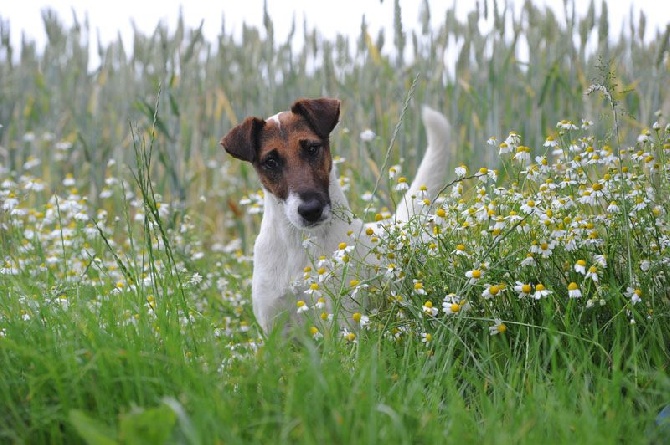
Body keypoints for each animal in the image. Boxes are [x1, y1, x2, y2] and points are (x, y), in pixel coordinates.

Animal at [222, 98, 452, 332]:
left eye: (312, 148)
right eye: (270, 161)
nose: (311, 210)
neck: (300, 243)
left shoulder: (343, 320)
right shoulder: (274, 326)